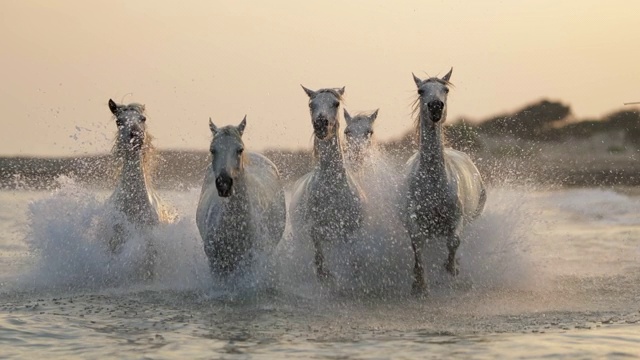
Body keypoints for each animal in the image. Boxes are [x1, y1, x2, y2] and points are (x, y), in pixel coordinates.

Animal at [288, 85, 364, 282]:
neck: (332, 189)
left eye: (335, 103)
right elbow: (320, 265)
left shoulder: (351, 233)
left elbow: (353, 262)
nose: (321, 124)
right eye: (311, 104)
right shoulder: (315, 231)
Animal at [402, 70, 488, 296]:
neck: (433, 182)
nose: (435, 107)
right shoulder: (415, 221)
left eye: (445, 89)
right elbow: (418, 244)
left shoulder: (456, 219)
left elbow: (454, 241)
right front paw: (420, 285)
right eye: (421, 90)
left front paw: (451, 268)